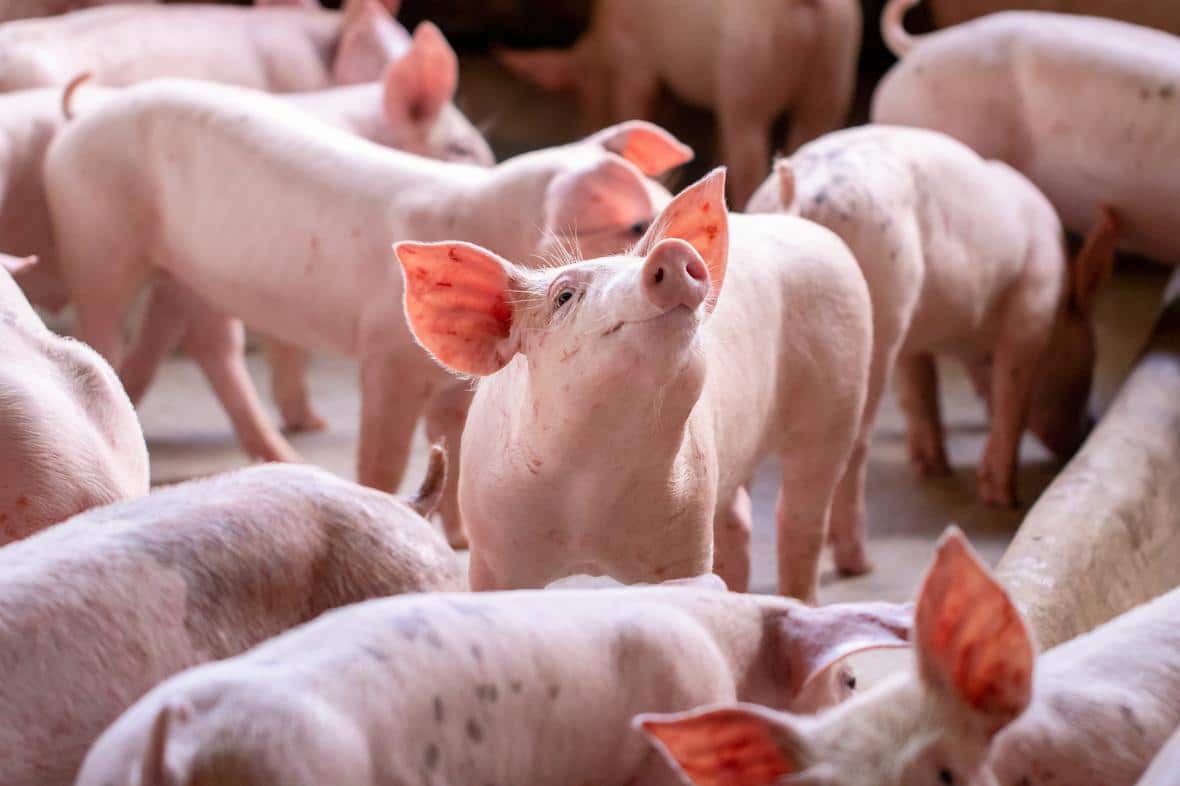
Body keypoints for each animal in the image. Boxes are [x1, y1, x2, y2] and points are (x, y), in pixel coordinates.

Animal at [44, 76, 692, 547]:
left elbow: (457, 447)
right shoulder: (387, 355)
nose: (685, 256)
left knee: (209, 346)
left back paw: (286, 451)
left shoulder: (456, 381)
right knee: (107, 325)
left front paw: (461, 541)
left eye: (661, 204)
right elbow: (384, 454)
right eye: (633, 223)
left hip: (191, 276)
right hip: (95, 232)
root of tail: (81, 118)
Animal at [396, 169, 873, 600]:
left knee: (801, 519)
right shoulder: (492, 551)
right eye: (563, 297)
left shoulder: (687, 531)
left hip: (840, 395)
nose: (672, 251)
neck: (589, 493)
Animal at [497, 0, 862, 204]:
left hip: (749, 63)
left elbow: (635, 106)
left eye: (581, 84)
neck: (600, 46)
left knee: (748, 150)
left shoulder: (635, 62)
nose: (588, 125)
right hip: (837, 58)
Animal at [745, 127, 1115, 544]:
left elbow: (920, 387)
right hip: (879, 315)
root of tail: (794, 193)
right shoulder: (1032, 306)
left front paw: (933, 467)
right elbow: (1012, 395)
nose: (1089, 426)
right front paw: (1004, 498)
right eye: (1088, 362)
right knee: (854, 447)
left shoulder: (915, 336)